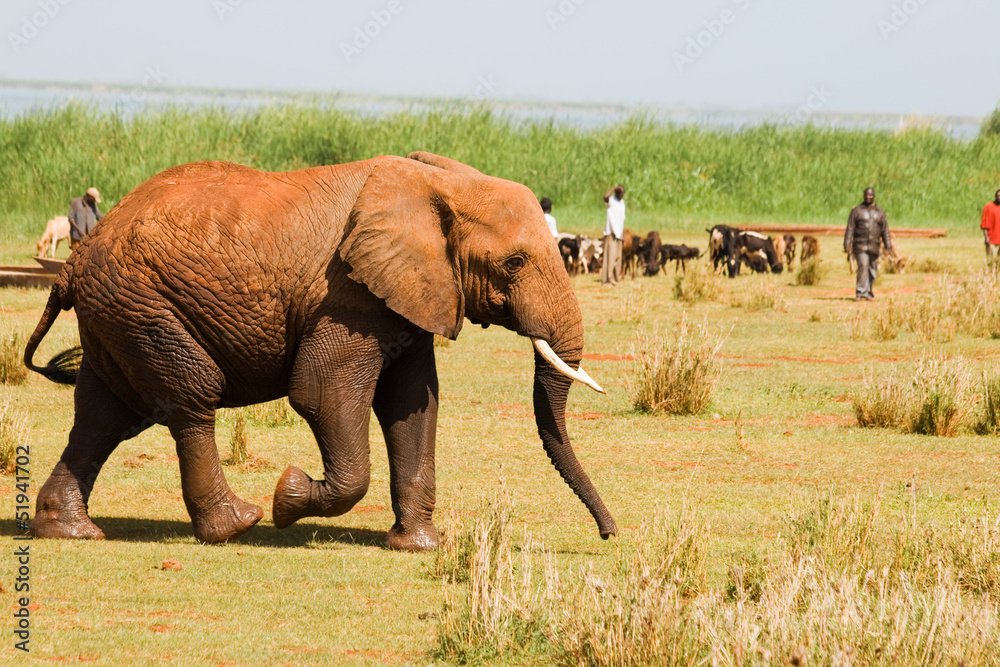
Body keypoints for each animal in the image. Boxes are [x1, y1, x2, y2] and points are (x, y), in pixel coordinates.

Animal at [24, 151, 618, 551]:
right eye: (514, 263)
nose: (609, 535)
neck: (437, 182)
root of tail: (73, 263)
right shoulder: (348, 293)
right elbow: (321, 392)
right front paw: (288, 499)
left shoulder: (405, 295)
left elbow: (413, 404)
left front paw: (418, 545)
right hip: (144, 307)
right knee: (190, 397)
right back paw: (237, 524)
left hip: (118, 315)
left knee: (104, 416)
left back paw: (69, 530)